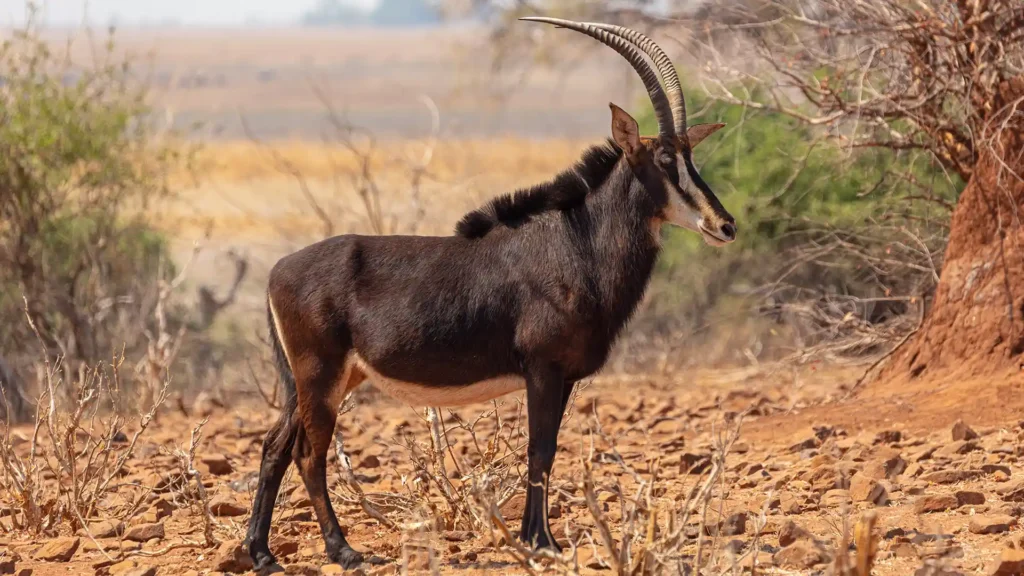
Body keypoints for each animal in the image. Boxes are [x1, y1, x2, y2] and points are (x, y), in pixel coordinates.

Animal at [246, 15, 737, 565]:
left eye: (692, 157)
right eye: (665, 158)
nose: (724, 225)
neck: (576, 243)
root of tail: (277, 271)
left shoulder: (564, 376)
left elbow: (546, 451)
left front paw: (535, 537)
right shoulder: (543, 369)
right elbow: (539, 450)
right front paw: (541, 542)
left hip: (317, 381)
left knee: (275, 446)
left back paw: (261, 554)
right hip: (321, 376)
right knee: (308, 454)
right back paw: (343, 551)